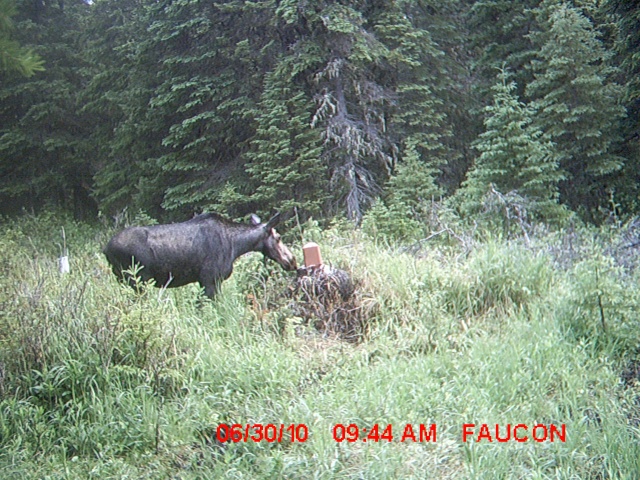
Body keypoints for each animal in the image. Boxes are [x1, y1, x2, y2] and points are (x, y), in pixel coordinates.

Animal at [104, 213, 296, 298]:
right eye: (278, 237)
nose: (292, 261)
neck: (235, 246)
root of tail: (105, 249)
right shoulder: (209, 279)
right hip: (137, 279)